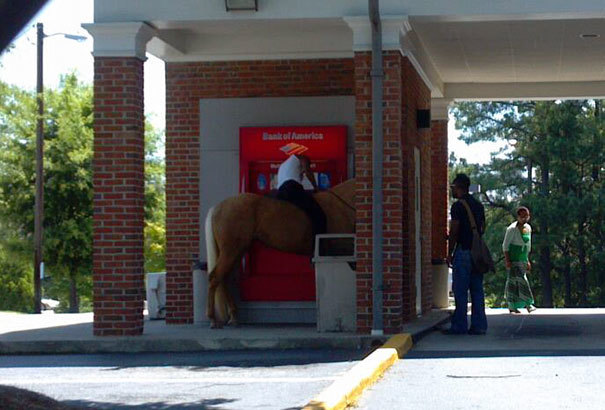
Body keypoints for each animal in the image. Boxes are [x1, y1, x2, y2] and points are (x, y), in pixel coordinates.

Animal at [204, 178, 354, 328]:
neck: (340, 207)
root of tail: (218, 207)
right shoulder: (344, 252)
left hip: (236, 252)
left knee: (224, 279)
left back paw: (233, 317)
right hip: (231, 251)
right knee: (215, 278)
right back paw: (213, 319)